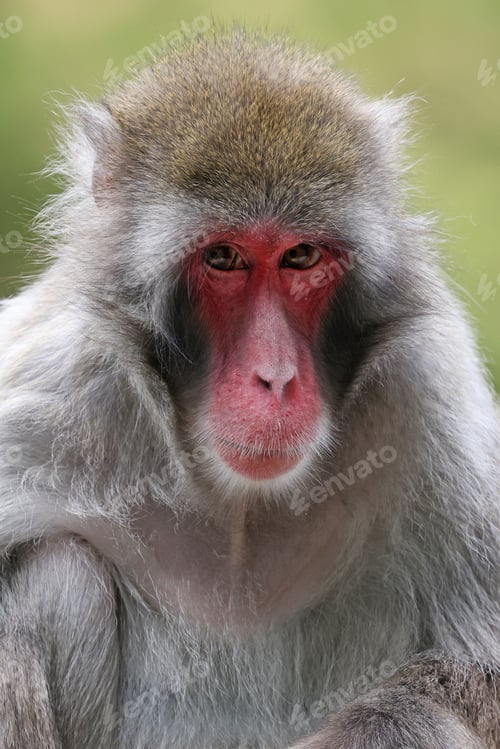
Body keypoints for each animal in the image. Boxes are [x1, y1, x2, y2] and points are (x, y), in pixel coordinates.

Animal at [0, 27, 498, 749]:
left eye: (301, 256)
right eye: (223, 258)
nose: (277, 376)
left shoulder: (429, 396)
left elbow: (477, 674)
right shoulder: (52, 396)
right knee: (61, 573)